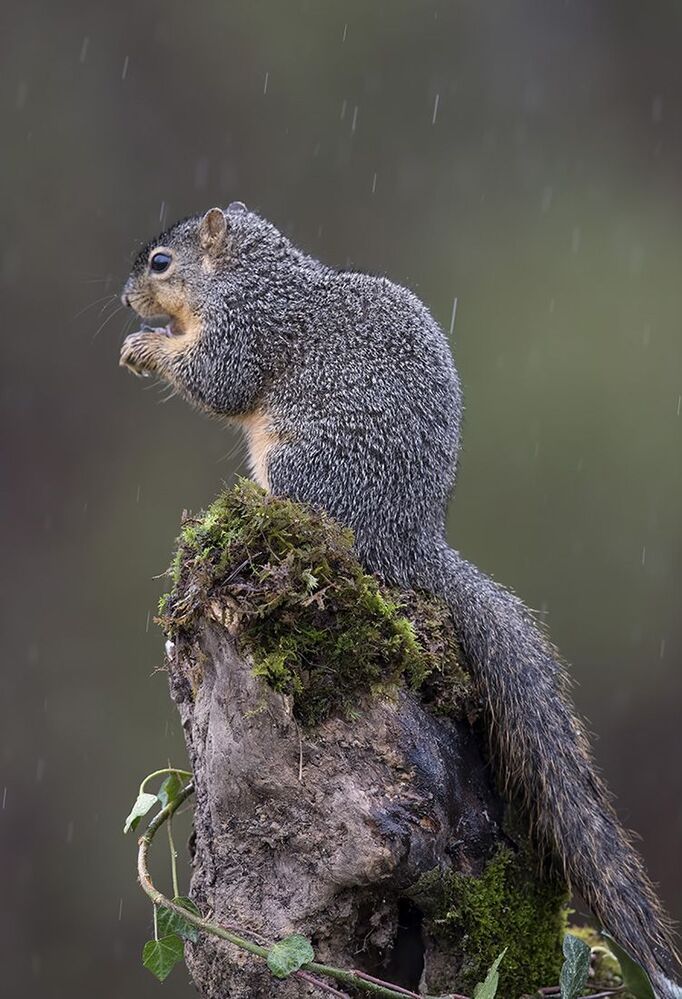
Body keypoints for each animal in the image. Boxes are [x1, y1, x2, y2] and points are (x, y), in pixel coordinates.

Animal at [120, 202, 681, 999]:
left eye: (162, 263)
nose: (127, 297)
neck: (247, 275)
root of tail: (410, 543)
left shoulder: (246, 327)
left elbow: (219, 379)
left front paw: (145, 346)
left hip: (303, 464)